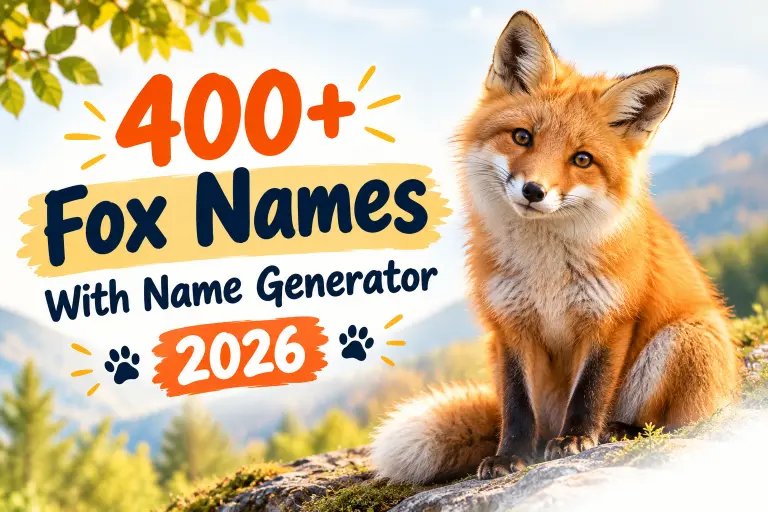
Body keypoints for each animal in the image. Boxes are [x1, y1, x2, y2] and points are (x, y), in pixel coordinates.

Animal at [370, 10, 742, 484]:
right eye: (522, 137)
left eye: (582, 159)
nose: (534, 191)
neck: (546, 271)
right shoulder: (509, 325)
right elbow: (516, 407)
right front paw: (510, 456)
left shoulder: (609, 318)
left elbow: (589, 391)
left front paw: (577, 439)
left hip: (689, 336)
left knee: (671, 422)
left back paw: (618, 430)